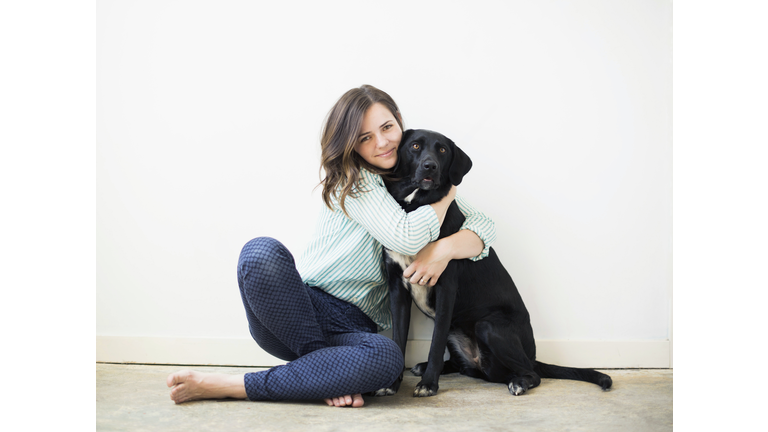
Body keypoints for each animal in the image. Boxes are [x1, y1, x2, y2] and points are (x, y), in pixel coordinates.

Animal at [376, 129, 608, 398]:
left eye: (442, 150)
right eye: (415, 146)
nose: (429, 166)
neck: (415, 208)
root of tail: (533, 355)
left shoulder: (446, 287)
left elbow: (435, 344)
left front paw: (428, 384)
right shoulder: (397, 289)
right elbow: (398, 339)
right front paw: (392, 383)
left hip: (488, 326)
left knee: (531, 373)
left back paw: (519, 382)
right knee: (463, 365)